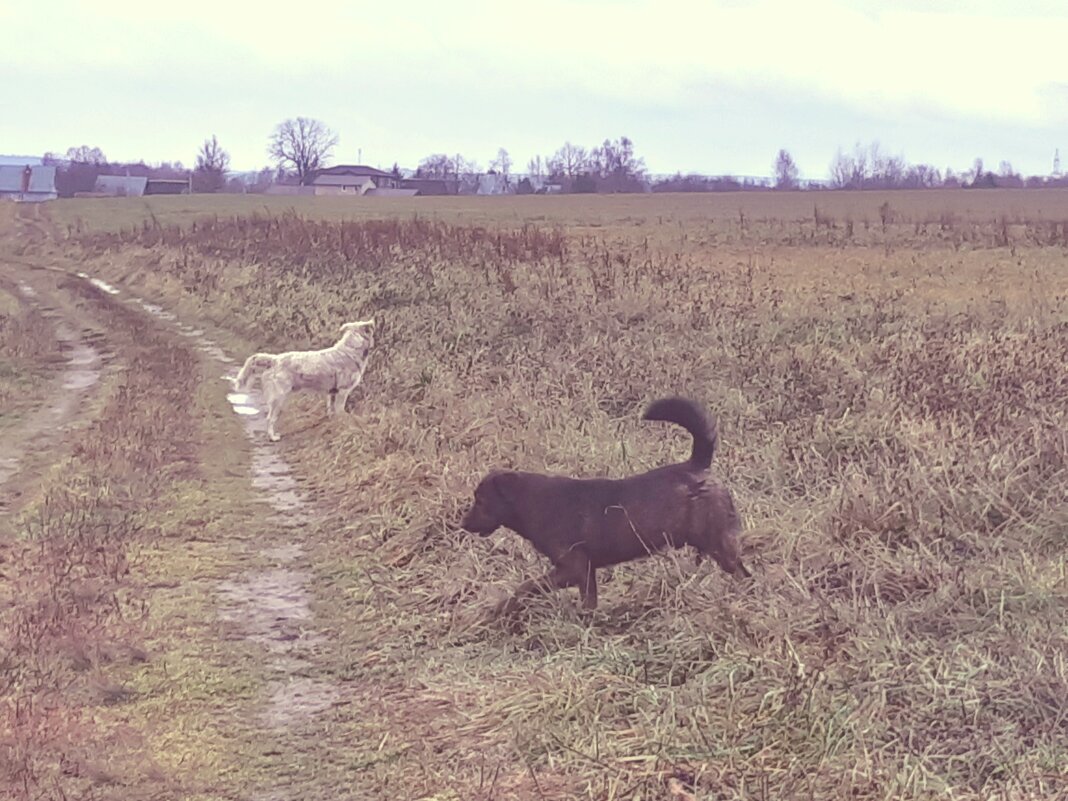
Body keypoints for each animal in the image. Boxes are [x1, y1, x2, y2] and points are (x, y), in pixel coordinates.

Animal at [233, 320, 375, 442]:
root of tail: (275, 359)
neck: (350, 350)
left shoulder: (331, 393)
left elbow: (331, 410)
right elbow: (341, 411)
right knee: (270, 419)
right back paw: (272, 437)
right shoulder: (342, 392)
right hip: (279, 398)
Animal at [461, 399, 751, 619]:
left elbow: (528, 585)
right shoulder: (586, 573)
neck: (530, 501)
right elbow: (588, 602)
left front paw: (503, 608)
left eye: (480, 501)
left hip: (720, 544)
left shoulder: (572, 568)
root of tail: (698, 464)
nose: (463, 524)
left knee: (742, 573)